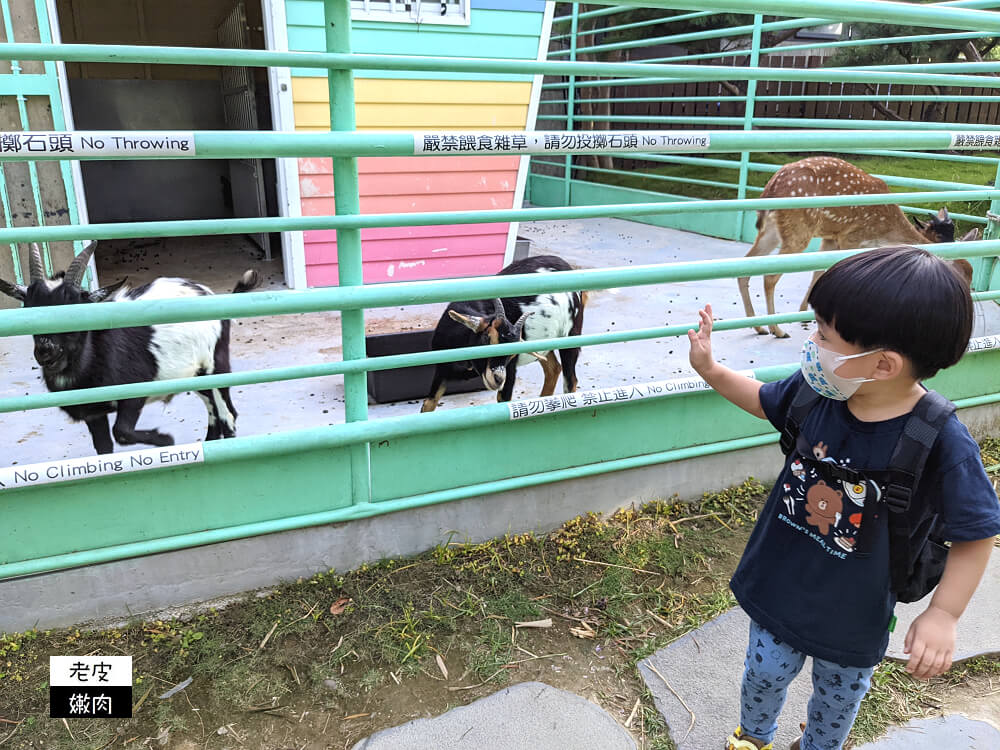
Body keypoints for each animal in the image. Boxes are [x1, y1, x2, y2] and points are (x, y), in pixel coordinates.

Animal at [0, 242, 262, 452]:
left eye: (77, 311)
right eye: (28, 310)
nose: (46, 352)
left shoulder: (135, 390)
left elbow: (122, 432)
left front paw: (165, 439)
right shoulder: (93, 412)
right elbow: (104, 448)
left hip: (215, 365)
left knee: (227, 414)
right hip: (195, 375)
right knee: (213, 412)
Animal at [420, 258, 584, 412]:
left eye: (512, 354)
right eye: (487, 337)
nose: (498, 379)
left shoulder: (510, 370)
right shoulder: (442, 370)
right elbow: (428, 404)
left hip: (571, 335)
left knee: (570, 380)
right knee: (554, 369)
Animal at [740, 157, 980, 340]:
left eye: (971, 272)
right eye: (960, 275)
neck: (884, 231)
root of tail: (771, 186)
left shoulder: (832, 236)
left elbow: (819, 270)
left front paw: (804, 313)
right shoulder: (851, 236)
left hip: (772, 230)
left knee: (746, 266)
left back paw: (758, 326)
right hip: (799, 228)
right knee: (769, 275)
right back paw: (777, 329)